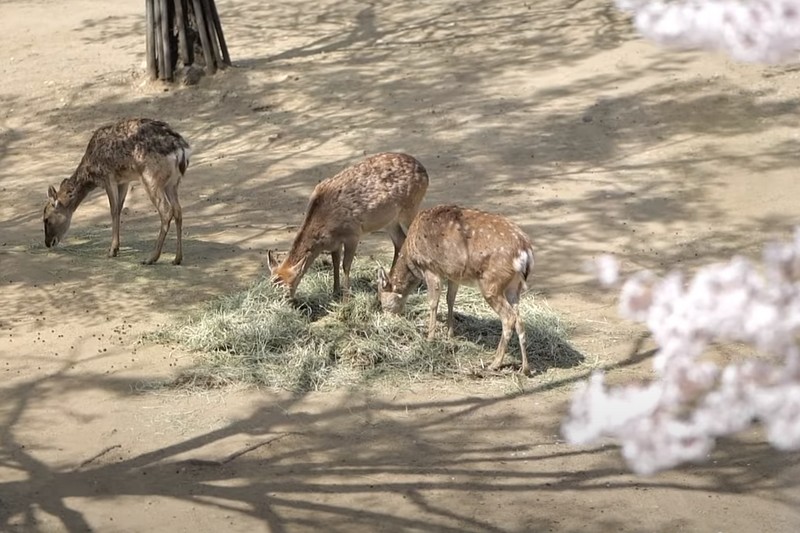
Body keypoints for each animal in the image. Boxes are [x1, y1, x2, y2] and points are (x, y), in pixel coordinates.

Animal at [43, 118, 192, 264]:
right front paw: (117, 247)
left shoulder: (108, 176)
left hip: (151, 178)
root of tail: (182, 152)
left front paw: (112, 250)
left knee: (166, 210)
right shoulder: (124, 181)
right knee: (178, 210)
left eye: (46, 219)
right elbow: (119, 209)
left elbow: (113, 210)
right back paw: (177, 258)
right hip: (172, 183)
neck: (91, 172)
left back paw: (151, 258)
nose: (48, 243)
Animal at [268, 152, 432, 298]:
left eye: (285, 290)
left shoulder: (352, 233)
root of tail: (425, 173)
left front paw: (346, 298)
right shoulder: (335, 243)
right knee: (400, 240)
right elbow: (335, 264)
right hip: (390, 220)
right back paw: (391, 279)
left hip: (410, 206)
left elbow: (345, 265)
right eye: (270, 284)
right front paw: (335, 292)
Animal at [376, 204, 536, 374]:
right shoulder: (454, 275)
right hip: (514, 286)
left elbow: (433, 303)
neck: (412, 261)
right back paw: (526, 368)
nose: (386, 317)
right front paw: (450, 333)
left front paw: (430, 338)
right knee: (519, 320)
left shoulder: (430, 268)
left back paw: (495, 363)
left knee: (508, 318)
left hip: (492, 283)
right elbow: (450, 299)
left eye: (381, 299)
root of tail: (525, 253)